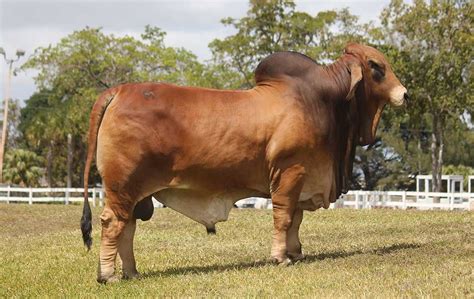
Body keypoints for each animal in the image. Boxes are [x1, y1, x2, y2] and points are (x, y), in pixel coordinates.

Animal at [81, 42, 408, 284]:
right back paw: (108, 276)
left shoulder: (302, 179)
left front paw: (296, 253)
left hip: (134, 193)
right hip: (123, 186)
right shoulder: (290, 172)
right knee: (112, 223)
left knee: (128, 227)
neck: (323, 102)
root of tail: (119, 90)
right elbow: (284, 217)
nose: (404, 94)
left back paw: (132, 273)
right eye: (376, 67)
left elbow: (296, 219)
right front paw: (280, 257)